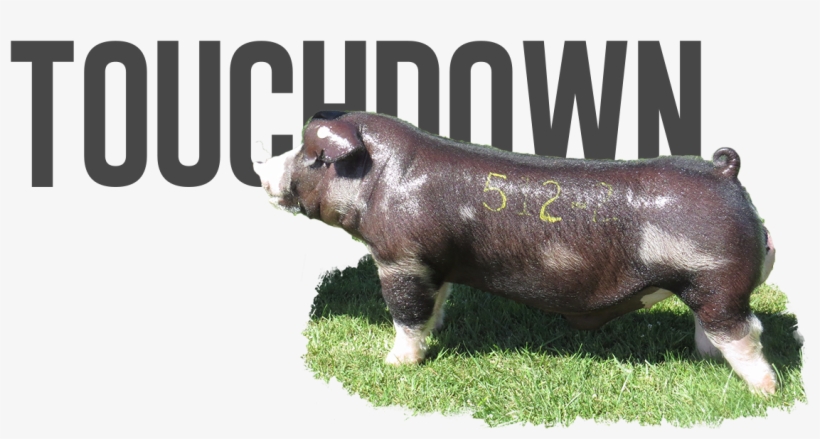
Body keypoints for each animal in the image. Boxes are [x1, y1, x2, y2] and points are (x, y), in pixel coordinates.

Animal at [253, 111, 777, 395]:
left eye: (313, 156)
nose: (260, 169)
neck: (386, 183)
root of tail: (724, 173)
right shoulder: (436, 265)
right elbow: (435, 305)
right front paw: (437, 332)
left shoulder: (400, 259)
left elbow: (405, 315)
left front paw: (395, 364)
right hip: (706, 286)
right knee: (714, 330)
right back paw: (707, 360)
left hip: (719, 281)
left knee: (748, 332)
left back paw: (764, 392)